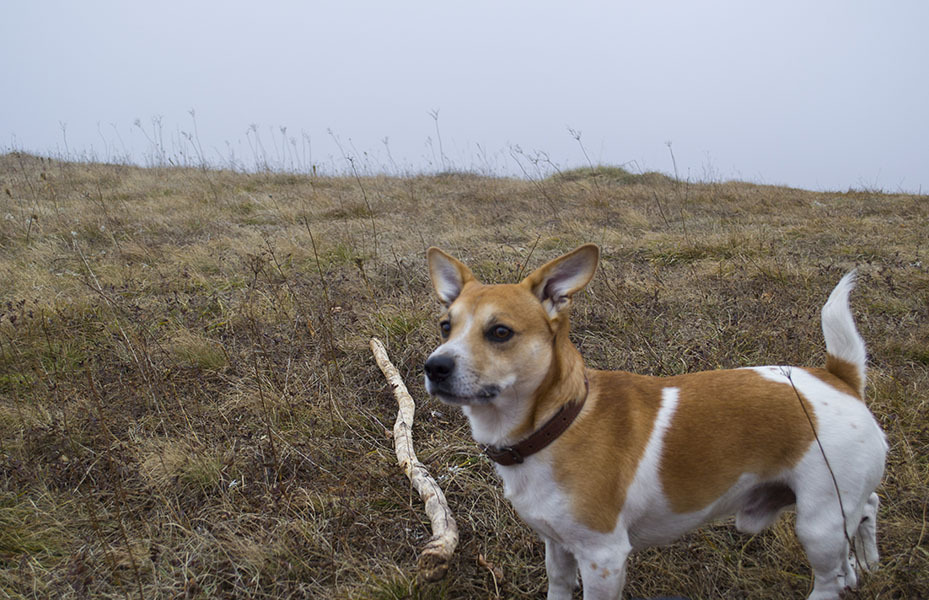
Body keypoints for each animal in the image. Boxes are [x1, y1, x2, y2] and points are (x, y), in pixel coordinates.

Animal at [424, 245, 888, 600]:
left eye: (500, 332)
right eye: (446, 327)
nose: (434, 366)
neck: (559, 423)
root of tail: (839, 377)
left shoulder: (604, 558)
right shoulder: (557, 546)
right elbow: (558, 585)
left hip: (819, 523)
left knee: (829, 579)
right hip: (830, 510)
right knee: (868, 506)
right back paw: (867, 560)